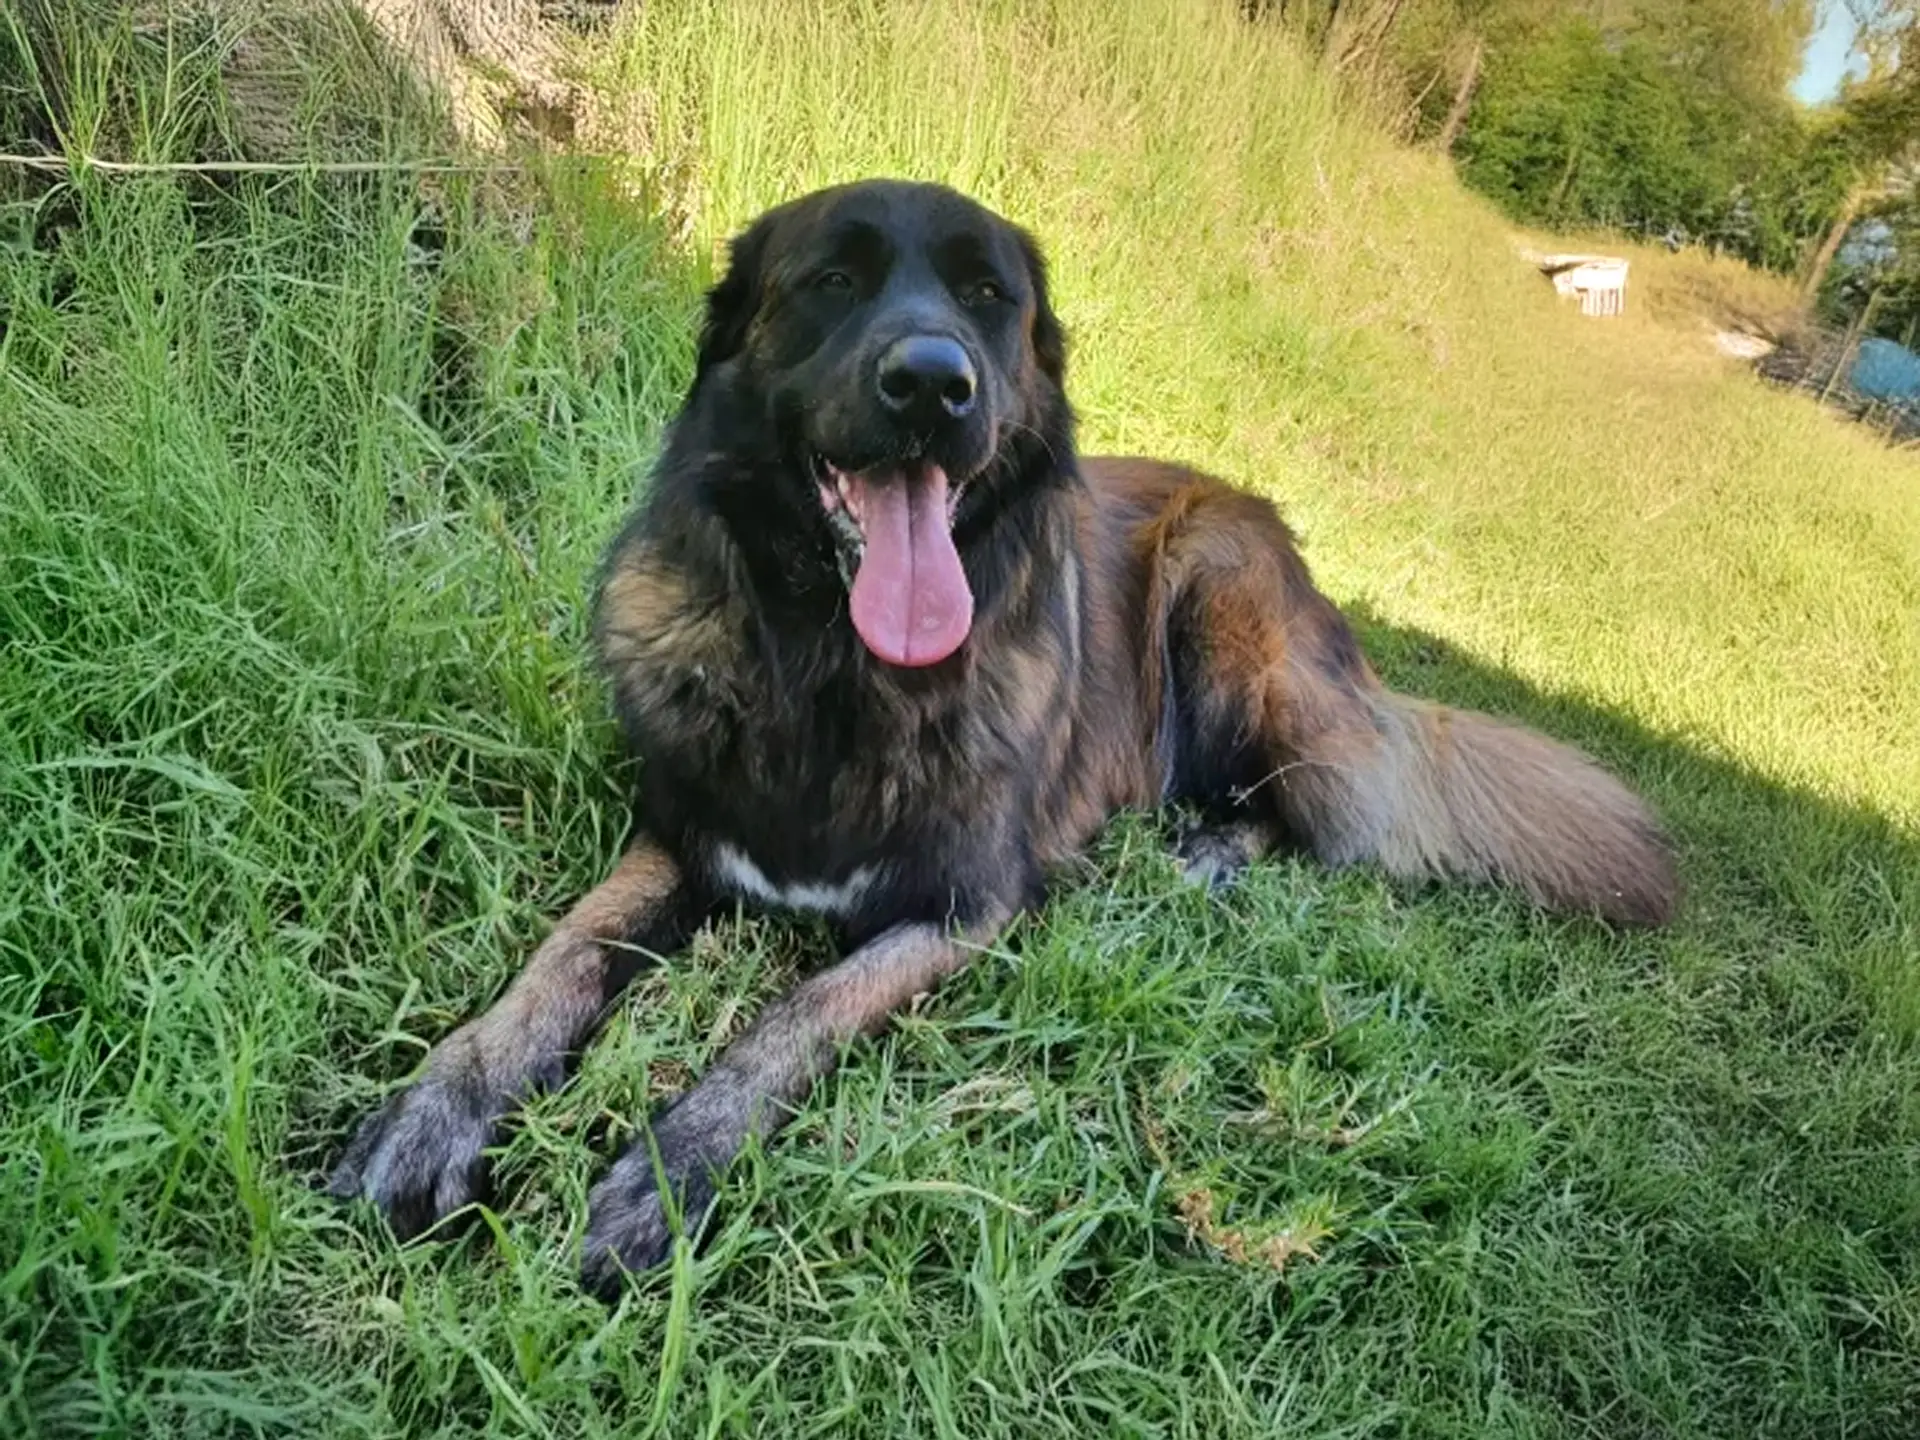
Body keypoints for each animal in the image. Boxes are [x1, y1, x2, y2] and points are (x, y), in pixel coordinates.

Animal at [334, 177, 1681, 1297]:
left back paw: (1209, 850)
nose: (935, 384)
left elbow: (788, 1021)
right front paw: (438, 1109)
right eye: (833, 279)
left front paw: (666, 1175)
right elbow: (558, 961)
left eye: (990, 300)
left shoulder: (962, 909)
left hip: (1221, 593)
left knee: (1311, 811)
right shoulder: (682, 840)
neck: (834, 671)